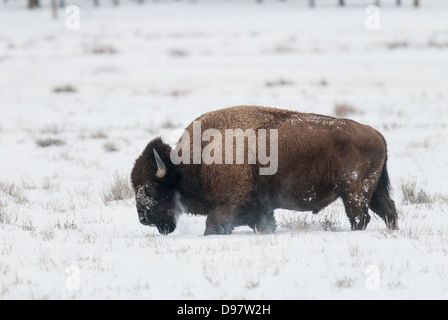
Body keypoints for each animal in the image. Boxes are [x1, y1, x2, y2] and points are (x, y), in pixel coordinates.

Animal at [130, 105, 400, 235]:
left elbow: (213, 225)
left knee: (360, 217)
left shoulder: (228, 205)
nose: (143, 219)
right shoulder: (260, 209)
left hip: (354, 192)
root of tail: (378, 134)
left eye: (151, 188)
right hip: (370, 191)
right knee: (387, 210)